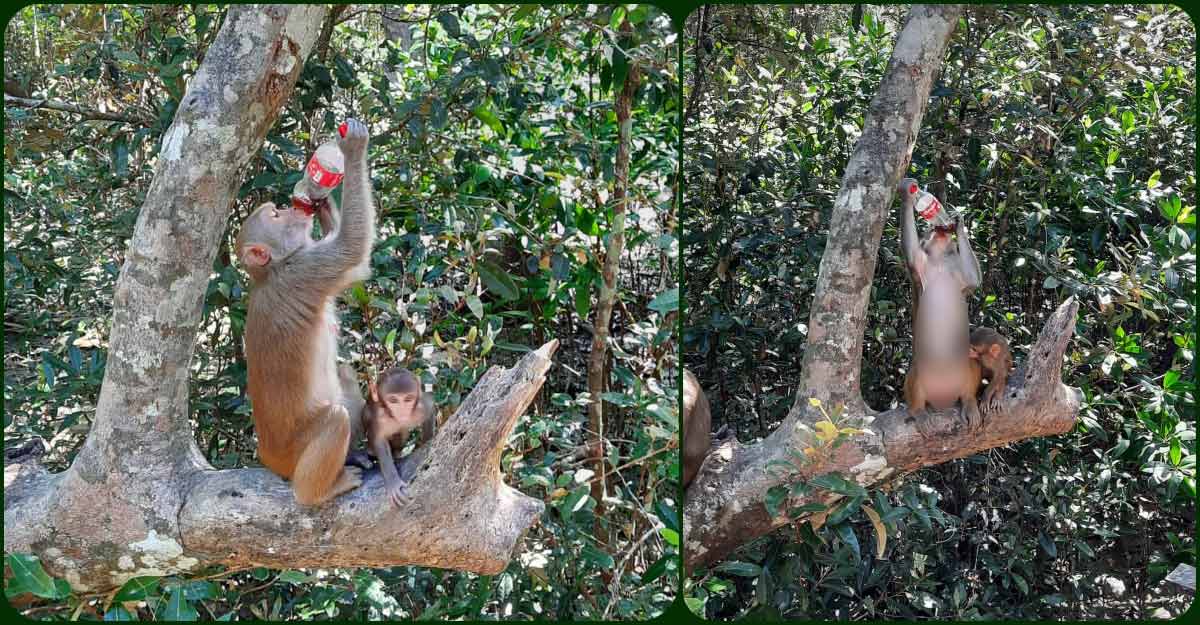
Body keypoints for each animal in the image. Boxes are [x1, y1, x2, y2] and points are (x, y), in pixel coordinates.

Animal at [235, 118, 375, 506]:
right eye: (275, 215)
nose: (293, 206)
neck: (274, 270)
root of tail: (268, 458)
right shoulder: (305, 270)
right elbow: (352, 250)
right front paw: (352, 150)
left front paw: (322, 199)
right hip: (294, 455)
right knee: (335, 421)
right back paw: (319, 491)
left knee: (343, 374)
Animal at [360, 368, 437, 507]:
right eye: (393, 400)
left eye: (408, 399)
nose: (402, 411)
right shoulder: (381, 419)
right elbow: (379, 440)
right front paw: (393, 483)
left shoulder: (420, 408)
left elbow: (430, 410)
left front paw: (426, 443)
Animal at [899, 178, 983, 436]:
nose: (943, 227)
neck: (941, 260)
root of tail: (943, 399)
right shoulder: (920, 263)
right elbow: (912, 253)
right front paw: (908, 193)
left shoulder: (959, 269)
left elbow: (973, 280)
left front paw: (959, 223)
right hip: (921, 374)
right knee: (915, 375)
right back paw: (919, 412)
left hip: (963, 368)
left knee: (971, 370)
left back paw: (969, 402)